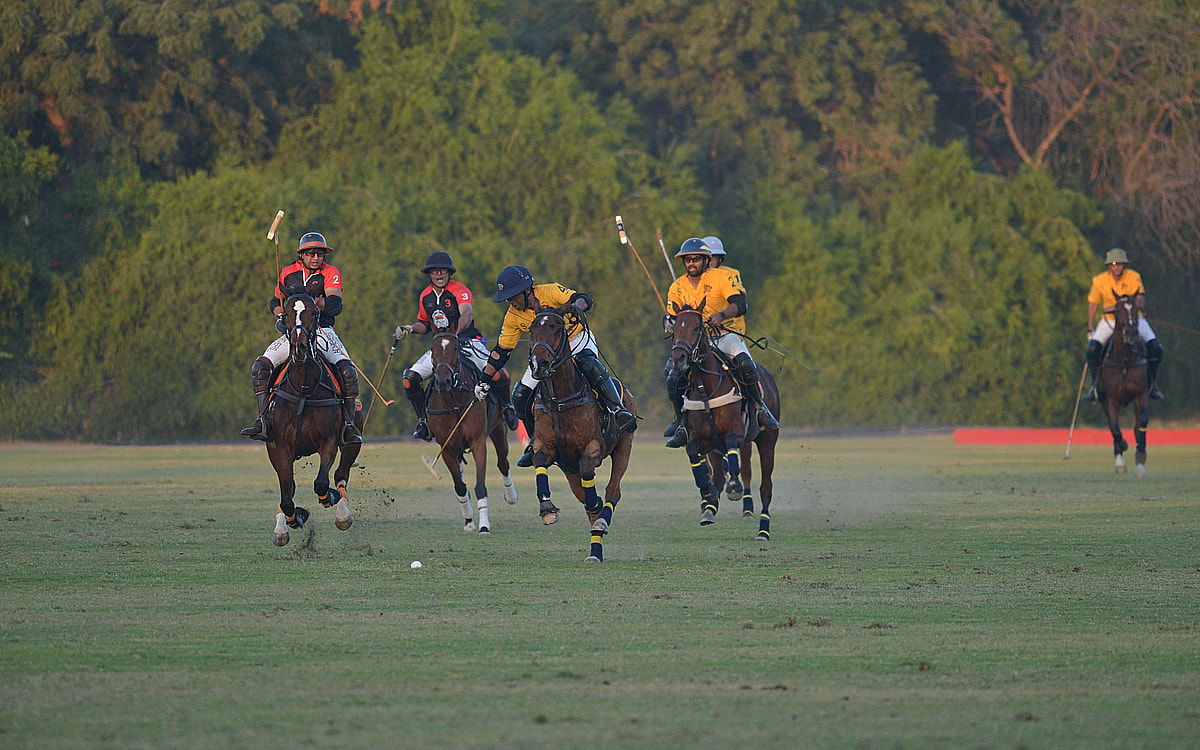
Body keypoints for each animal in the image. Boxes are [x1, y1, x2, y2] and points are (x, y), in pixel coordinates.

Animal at [262, 288, 355, 544]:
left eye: (314, 312)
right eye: (286, 314)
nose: (299, 347)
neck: (303, 388)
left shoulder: (329, 440)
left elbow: (322, 483)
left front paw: (330, 497)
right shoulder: (279, 447)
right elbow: (286, 496)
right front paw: (294, 519)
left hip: (352, 439)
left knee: (342, 473)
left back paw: (342, 512)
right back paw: (282, 525)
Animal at [429, 326, 518, 532]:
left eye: (455, 348)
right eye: (432, 350)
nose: (443, 381)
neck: (455, 403)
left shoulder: (478, 441)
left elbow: (480, 486)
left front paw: (484, 526)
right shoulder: (447, 448)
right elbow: (460, 487)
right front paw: (469, 521)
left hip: (498, 430)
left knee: (503, 463)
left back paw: (511, 496)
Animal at [528, 306, 638, 561]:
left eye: (558, 329)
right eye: (531, 328)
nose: (539, 364)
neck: (559, 399)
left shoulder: (593, 448)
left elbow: (591, 471)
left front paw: (595, 503)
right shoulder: (546, 447)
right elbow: (539, 460)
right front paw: (547, 509)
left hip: (624, 446)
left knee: (613, 491)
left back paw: (600, 523)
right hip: (570, 471)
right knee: (586, 502)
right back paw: (595, 549)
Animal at [672, 304, 782, 537]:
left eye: (697, 328)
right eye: (675, 328)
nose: (678, 359)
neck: (705, 389)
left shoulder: (736, 431)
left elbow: (733, 450)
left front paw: (734, 486)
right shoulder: (703, 439)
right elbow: (693, 452)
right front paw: (707, 493)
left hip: (767, 440)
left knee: (766, 487)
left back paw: (763, 530)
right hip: (716, 448)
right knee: (719, 476)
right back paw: (709, 510)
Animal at [1099, 295, 1147, 477]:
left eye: (1135, 309)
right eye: (1118, 310)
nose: (1131, 333)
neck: (1125, 359)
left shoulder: (1141, 395)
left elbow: (1141, 423)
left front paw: (1140, 459)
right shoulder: (1111, 399)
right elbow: (1115, 427)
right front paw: (1120, 461)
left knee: (1137, 425)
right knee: (1111, 425)